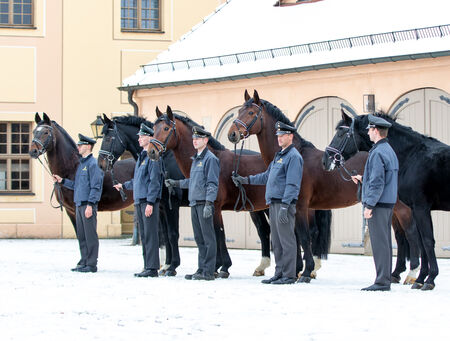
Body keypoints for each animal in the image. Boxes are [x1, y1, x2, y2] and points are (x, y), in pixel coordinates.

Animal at [98, 114, 272, 276]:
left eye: (109, 137)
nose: (101, 163)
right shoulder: (161, 207)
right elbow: (165, 236)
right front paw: (166, 265)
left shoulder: (172, 205)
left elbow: (173, 234)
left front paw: (172, 266)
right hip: (254, 208)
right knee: (264, 230)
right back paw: (261, 267)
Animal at [322, 111, 448, 290]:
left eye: (340, 133)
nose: (325, 161)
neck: (413, 155)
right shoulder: (416, 209)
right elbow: (422, 243)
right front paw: (420, 279)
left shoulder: (420, 208)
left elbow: (427, 241)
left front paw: (429, 280)